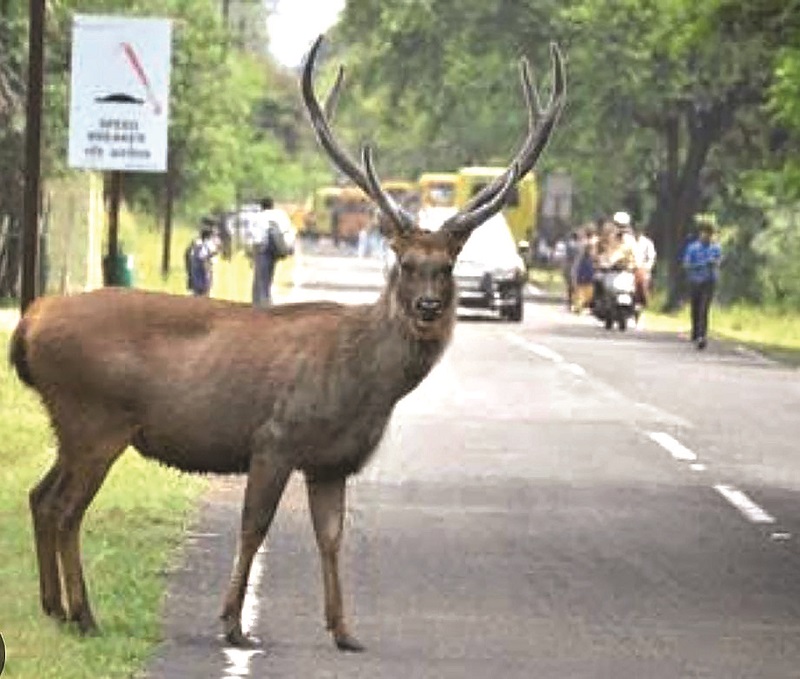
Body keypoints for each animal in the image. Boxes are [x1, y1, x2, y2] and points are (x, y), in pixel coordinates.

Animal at [9, 35, 564, 652]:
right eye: (404, 262)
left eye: (446, 266)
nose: (427, 307)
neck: (363, 383)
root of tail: (29, 324)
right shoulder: (275, 437)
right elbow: (254, 527)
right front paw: (233, 624)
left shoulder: (333, 462)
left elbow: (332, 537)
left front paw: (345, 631)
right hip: (96, 417)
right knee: (65, 508)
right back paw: (84, 615)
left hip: (72, 423)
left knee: (39, 496)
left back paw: (54, 608)